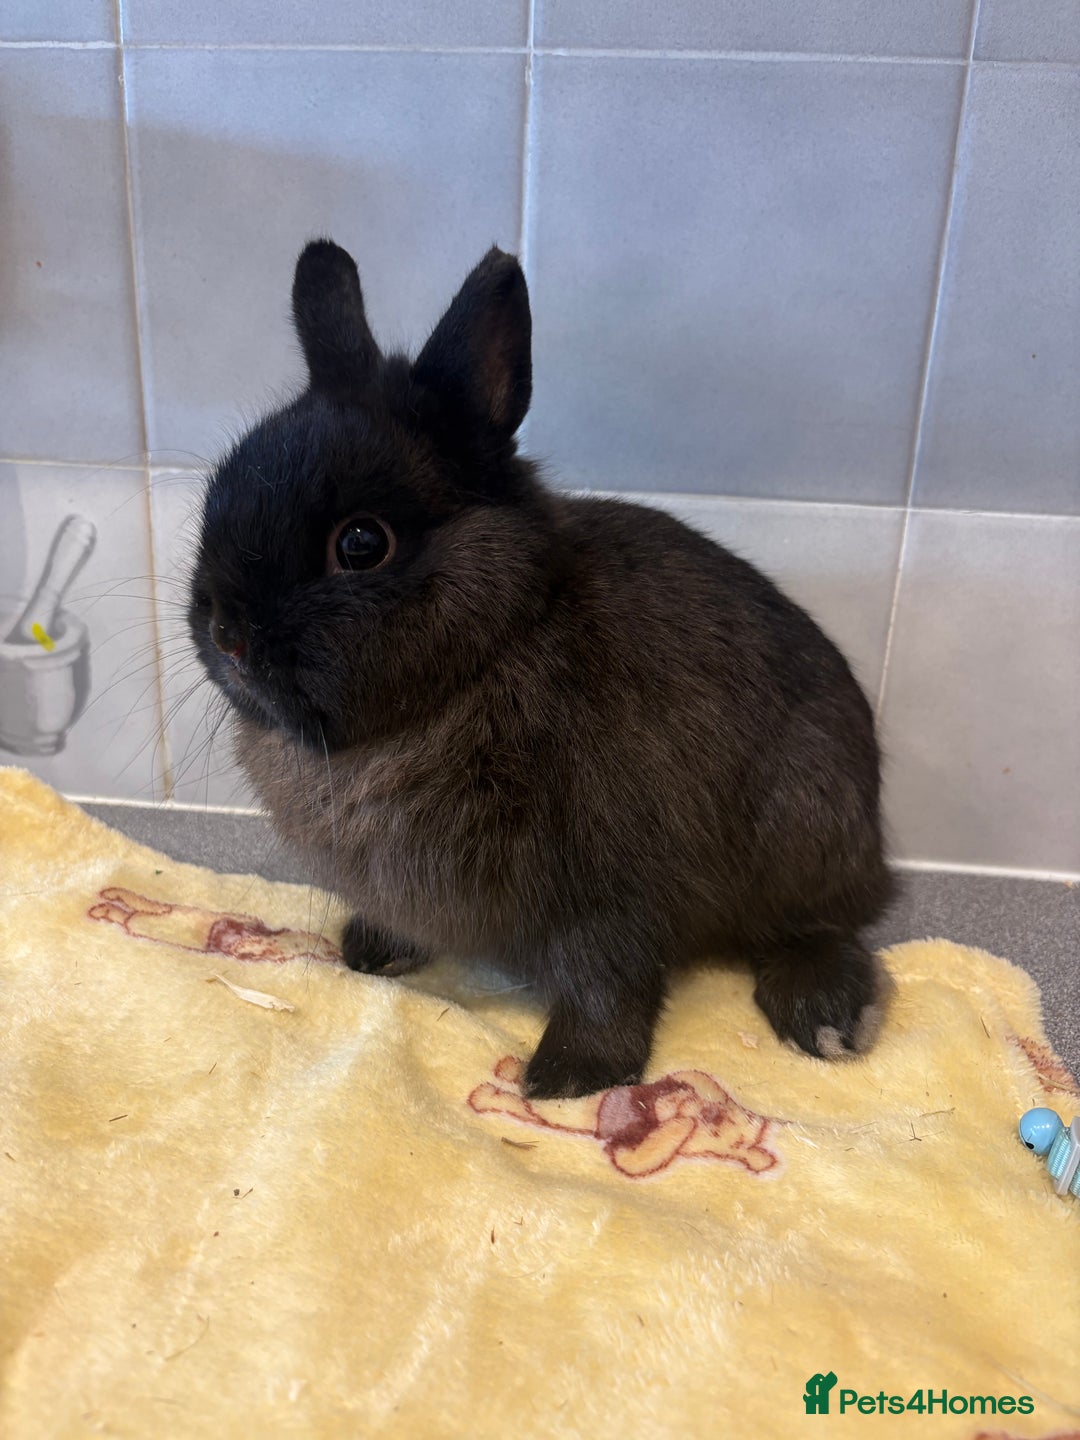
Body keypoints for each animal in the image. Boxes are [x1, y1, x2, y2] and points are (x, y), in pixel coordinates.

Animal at [189, 237, 896, 1100]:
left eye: (361, 543)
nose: (227, 633)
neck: (481, 662)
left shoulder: (610, 889)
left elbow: (606, 982)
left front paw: (566, 1078)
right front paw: (371, 952)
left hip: (803, 826)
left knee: (818, 928)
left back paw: (824, 1017)